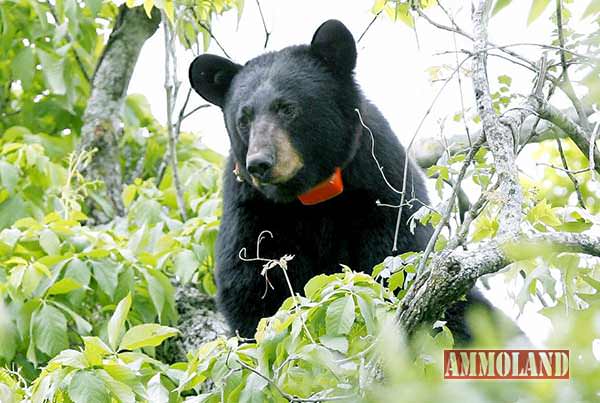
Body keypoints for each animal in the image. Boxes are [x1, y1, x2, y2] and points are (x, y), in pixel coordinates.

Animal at [190, 20, 434, 340]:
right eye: (243, 119)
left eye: (287, 108)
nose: (259, 164)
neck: (313, 194)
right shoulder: (252, 211)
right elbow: (252, 288)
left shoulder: (380, 188)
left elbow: (396, 258)